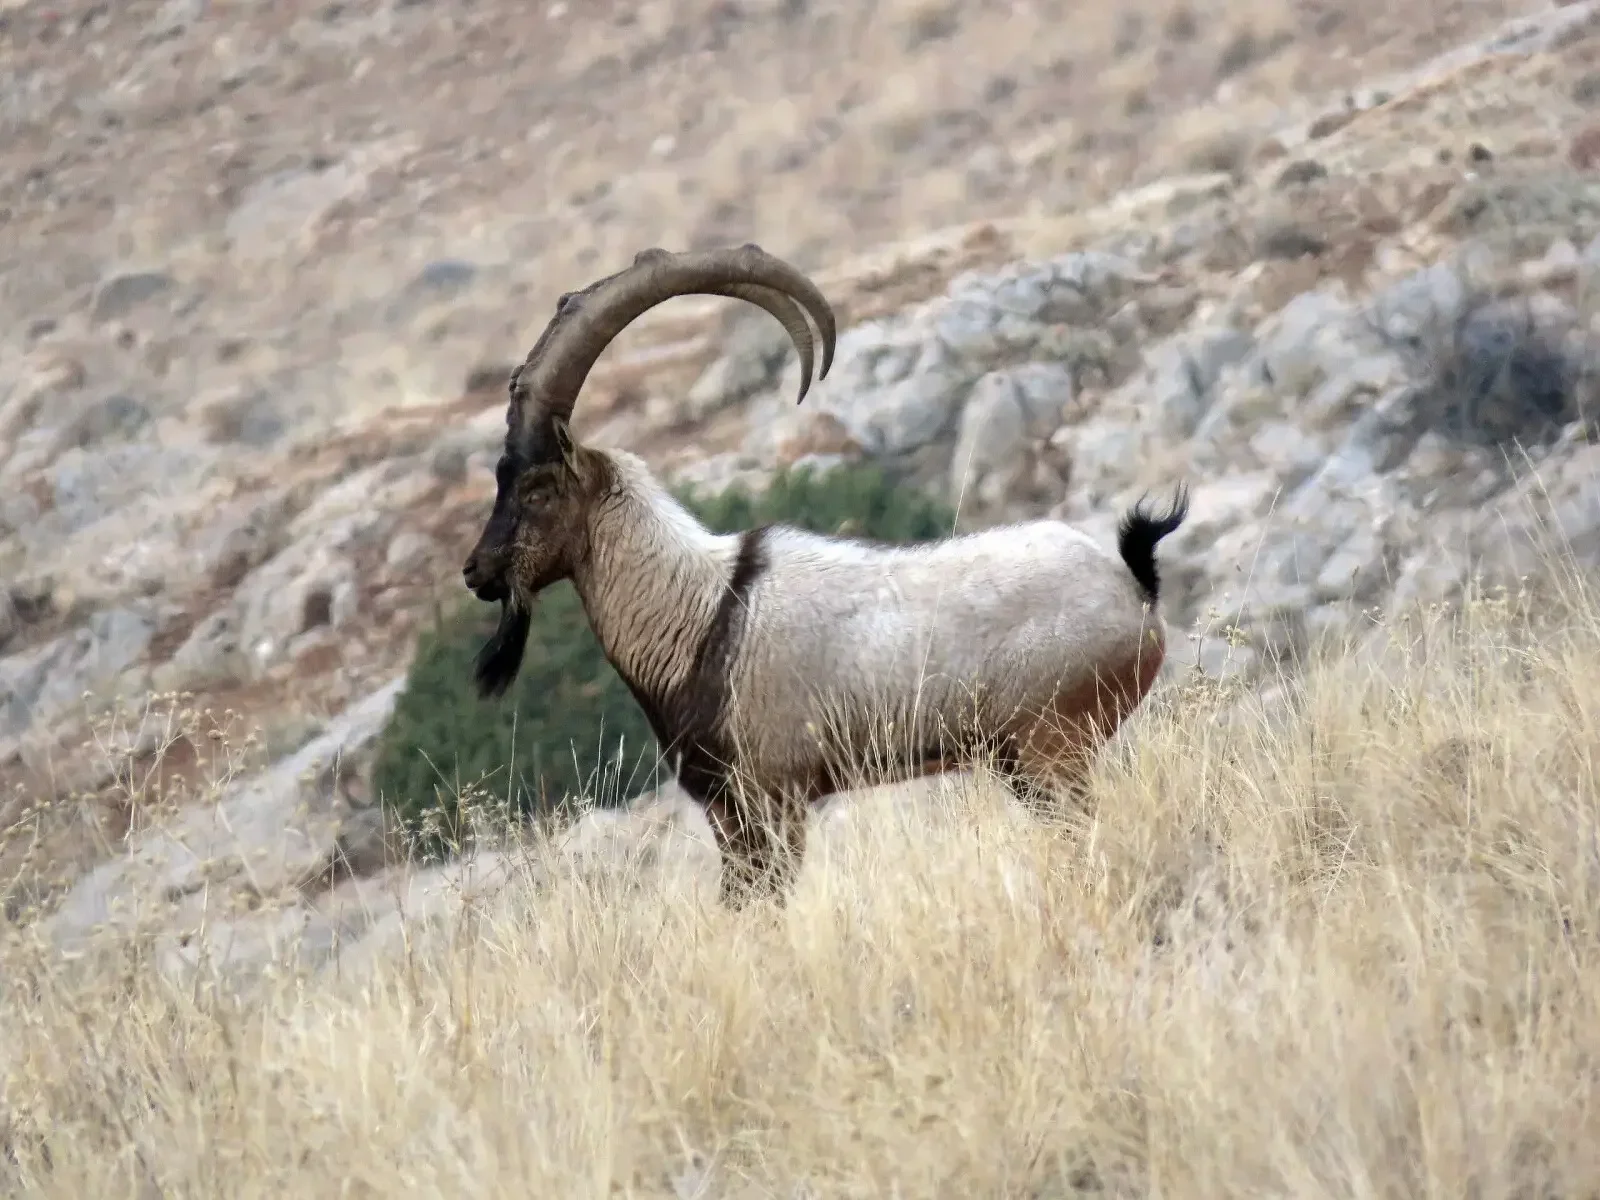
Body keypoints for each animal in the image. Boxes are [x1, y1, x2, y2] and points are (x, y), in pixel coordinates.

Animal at [461, 243, 1189, 906]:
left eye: (536, 489)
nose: (477, 572)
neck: (698, 615)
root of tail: (1133, 588)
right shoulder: (733, 814)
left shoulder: (769, 801)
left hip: (1051, 748)